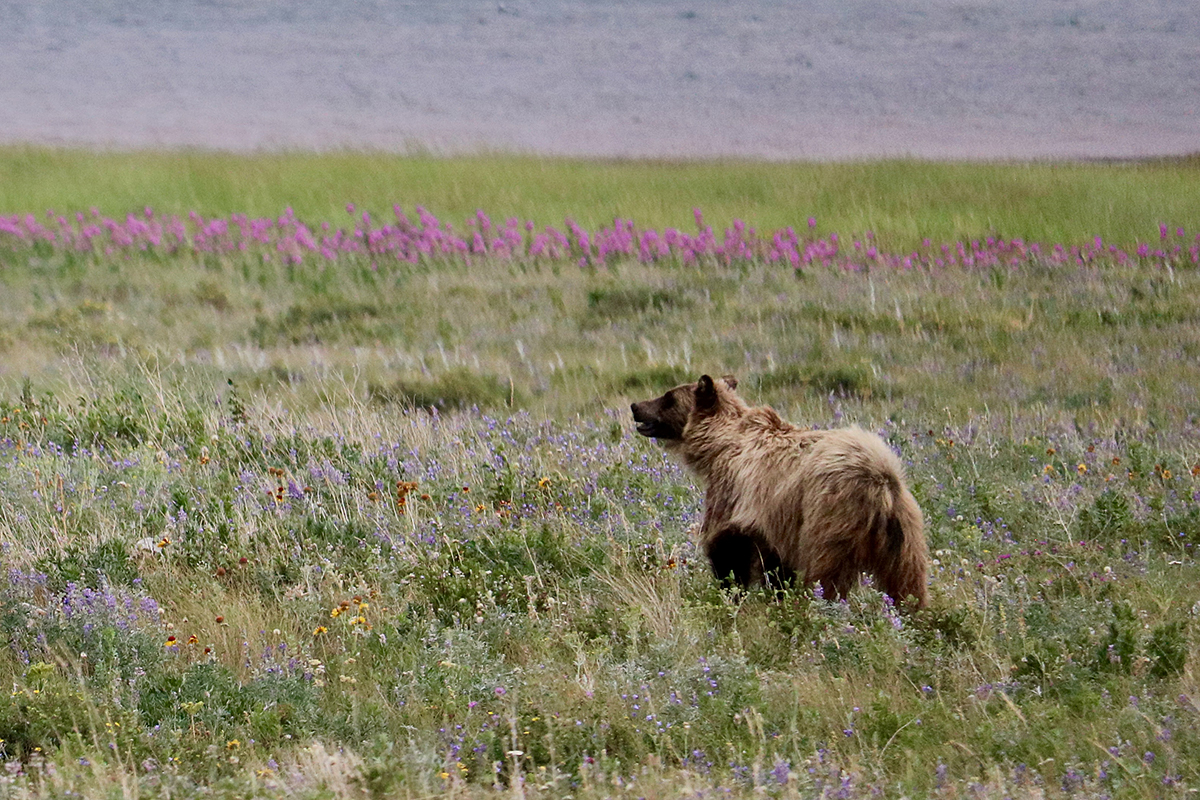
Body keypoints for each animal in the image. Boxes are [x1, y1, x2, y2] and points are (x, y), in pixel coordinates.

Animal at [631, 374, 929, 608]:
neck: (718, 445)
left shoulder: (736, 491)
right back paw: (912, 612)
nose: (635, 406)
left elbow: (726, 545)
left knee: (826, 571)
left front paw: (731, 591)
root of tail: (879, 474)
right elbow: (775, 563)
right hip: (905, 529)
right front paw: (776, 594)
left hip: (830, 516)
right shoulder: (773, 520)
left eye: (668, 396)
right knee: (907, 577)